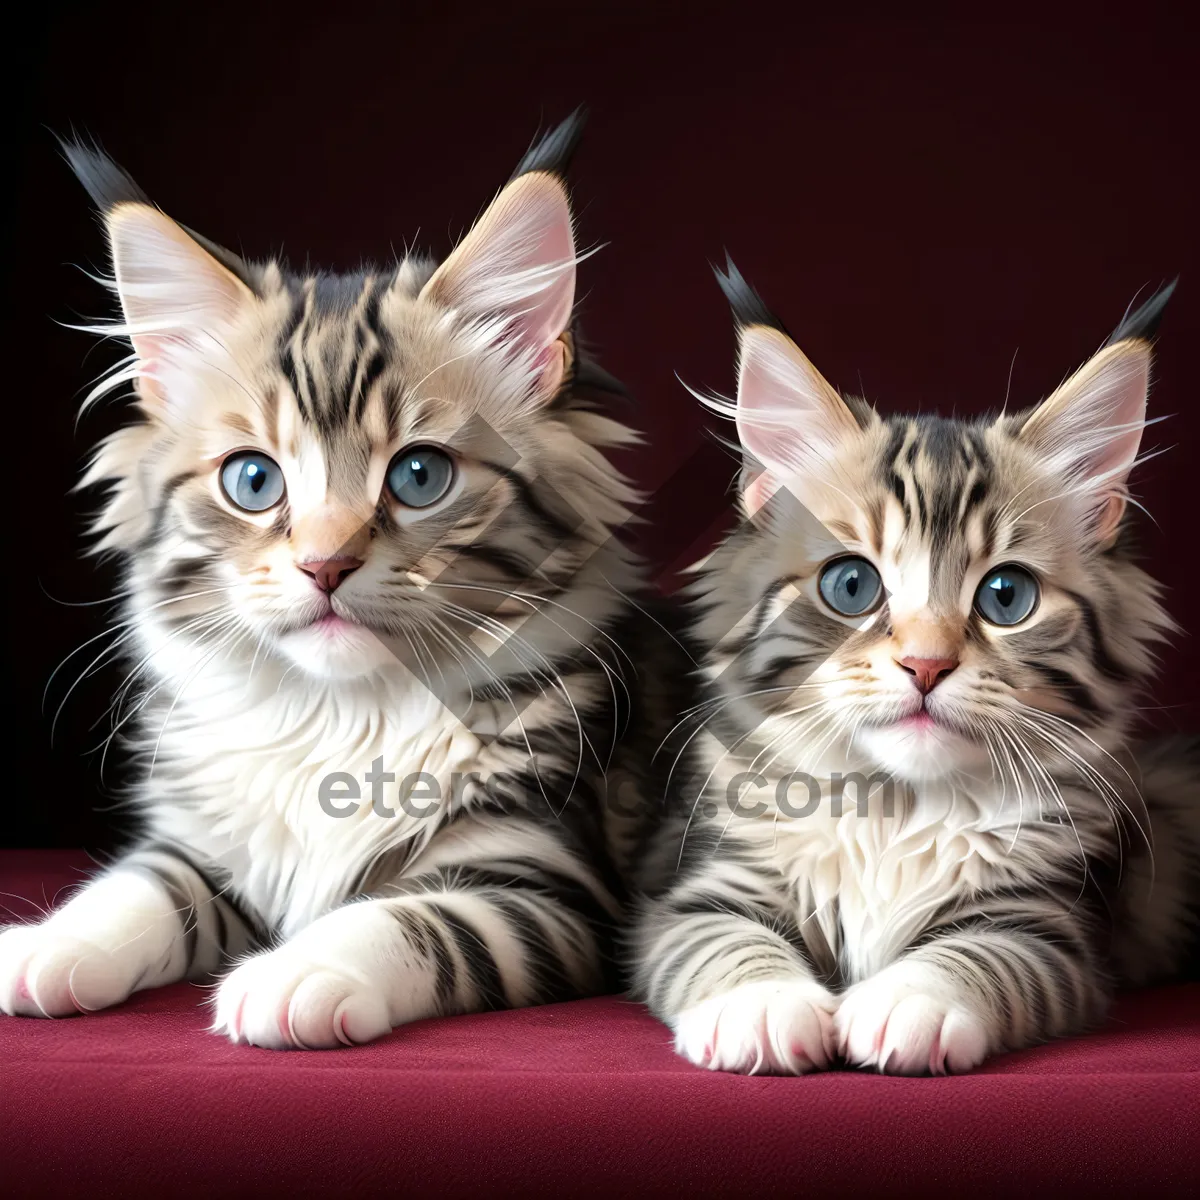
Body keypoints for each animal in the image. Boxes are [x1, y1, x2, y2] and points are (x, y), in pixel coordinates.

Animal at [0, 114, 662, 1051]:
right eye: (253, 481)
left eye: (420, 476)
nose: (325, 564)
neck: (342, 714)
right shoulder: (206, 848)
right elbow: (137, 885)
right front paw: (49, 944)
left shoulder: (543, 883)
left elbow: (407, 918)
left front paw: (293, 972)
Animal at [633, 270, 1195, 1080]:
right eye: (851, 587)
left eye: (1006, 596)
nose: (926, 664)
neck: (895, 809)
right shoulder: (701, 890)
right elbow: (724, 941)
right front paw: (762, 1006)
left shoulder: (1047, 927)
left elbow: (974, 956)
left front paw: (907, 1002)